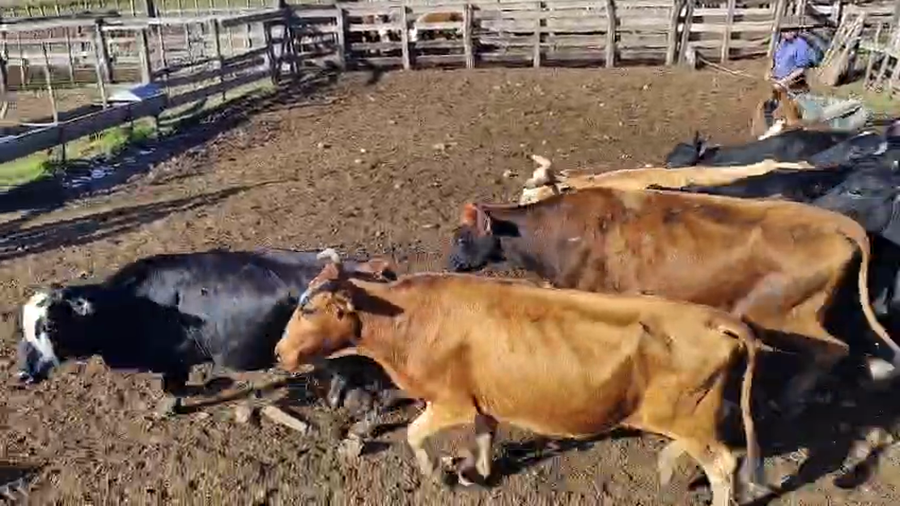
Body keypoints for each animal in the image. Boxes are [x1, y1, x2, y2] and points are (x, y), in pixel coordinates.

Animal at [15, 248, 396, 416]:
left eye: (50, 324)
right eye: (24, 329)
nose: (24, 373)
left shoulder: (173, 360)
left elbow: (172, 387)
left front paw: (168, 408)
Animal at [275, 260, 765, 506]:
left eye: (309, 309)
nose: (279, 353)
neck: (411, 319)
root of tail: (714, 319)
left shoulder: (450, 401)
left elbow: (414, 434)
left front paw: (438, 476)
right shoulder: (480, 399)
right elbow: (484, 435)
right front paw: (477, 473)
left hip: (686, 415)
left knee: (723, 465)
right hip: (690, 414)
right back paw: (665, 464)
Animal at [447, 187, 900, 416]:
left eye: (461, 237)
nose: (450, 262)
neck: (560, 232)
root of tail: (837, 224)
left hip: (782, 315)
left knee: (832, 350)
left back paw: (789, 401)